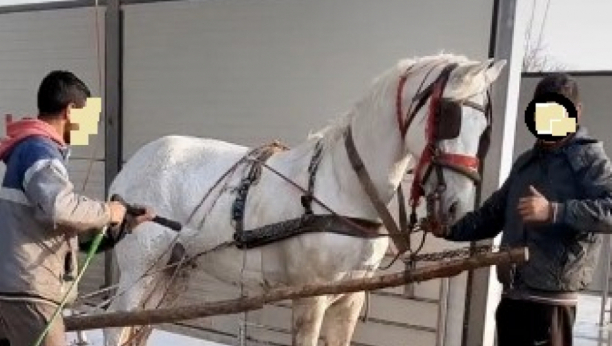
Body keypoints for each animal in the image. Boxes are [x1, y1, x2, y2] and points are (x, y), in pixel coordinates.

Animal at [103, 54, 504, 346]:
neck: (342, 187)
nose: (454, 207)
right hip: (140, 270)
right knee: (114, 326)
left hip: (173, 271)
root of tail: (134, 165)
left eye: (485, 129)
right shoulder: (311, 299)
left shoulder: (350, 298)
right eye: (448, 116)